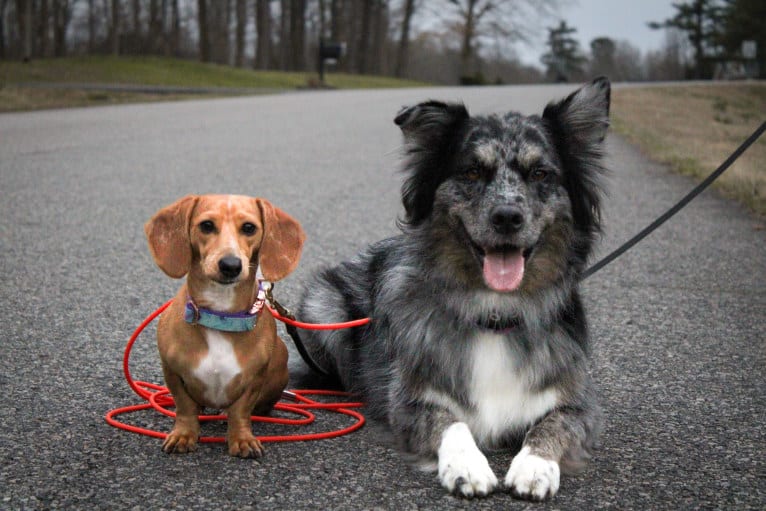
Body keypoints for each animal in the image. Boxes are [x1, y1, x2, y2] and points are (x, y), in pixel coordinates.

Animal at [145, 194, 306, 458]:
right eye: (206, 225)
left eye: (249, 227)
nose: (230, 265)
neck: (220, 315)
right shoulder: (172, 372)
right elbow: (184, 407)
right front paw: (183, 435)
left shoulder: (254, 380)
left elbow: (240, 411)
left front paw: (242, 439)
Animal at [298, 78, 612, 502]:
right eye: (472, 171)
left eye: (540, 174)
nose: (507, 217)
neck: (494, 314)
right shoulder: (409, 401)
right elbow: (451, 422)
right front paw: (466, 466)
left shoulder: (579, 403)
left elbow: (552, 425)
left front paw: (535, 465)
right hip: (323, 307)